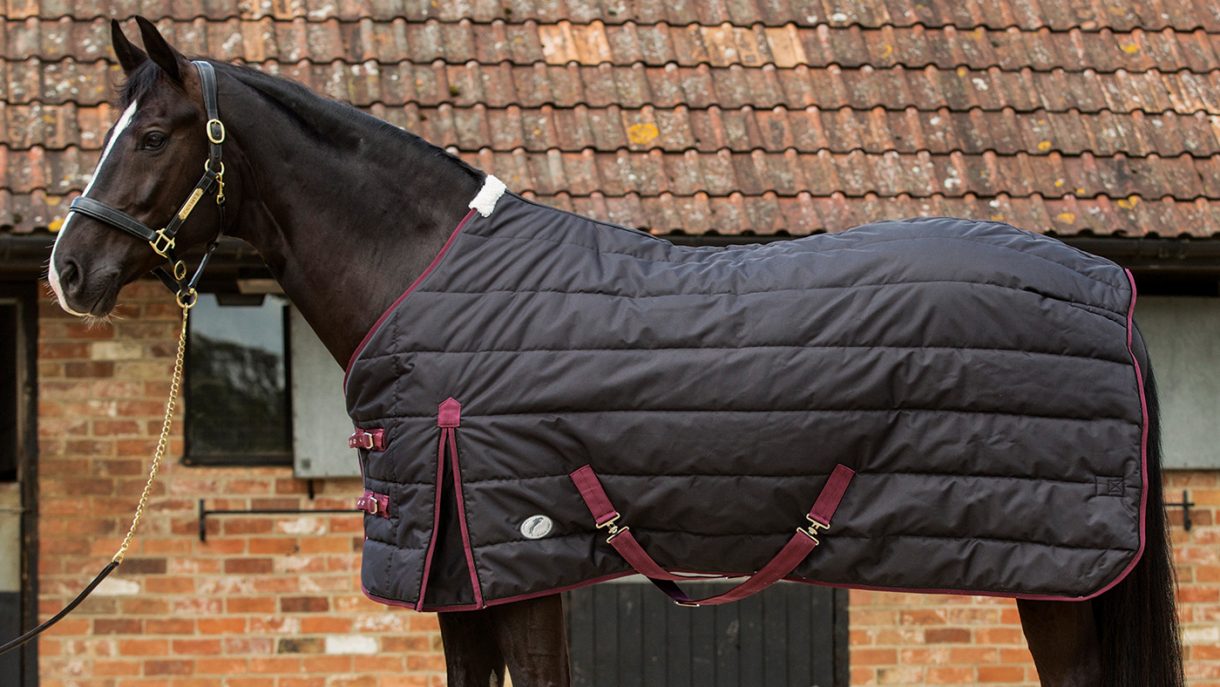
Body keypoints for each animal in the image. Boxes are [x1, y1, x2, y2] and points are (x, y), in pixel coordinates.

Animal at [45, 18, 1183, 687]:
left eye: (152, 136)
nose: (67, 268)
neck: (420, 274)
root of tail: (1111, 292)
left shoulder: (519, 559)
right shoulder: (458, 577)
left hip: (1059, 584)